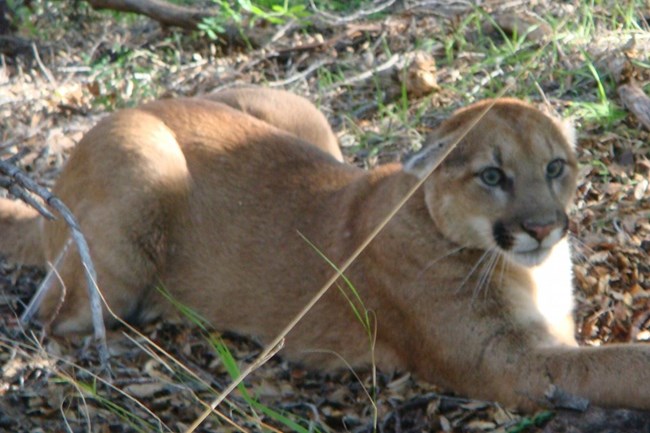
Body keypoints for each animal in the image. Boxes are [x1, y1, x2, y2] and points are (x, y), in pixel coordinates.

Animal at [1, 87, 648, 408]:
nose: (543, 227)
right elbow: (615, 365)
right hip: (146, 166)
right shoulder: (505, 361)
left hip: (301, 115)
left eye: (555, 166)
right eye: (493, 176)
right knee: (48, 317)